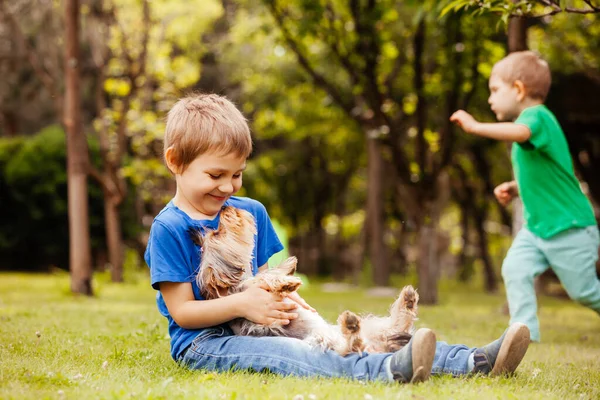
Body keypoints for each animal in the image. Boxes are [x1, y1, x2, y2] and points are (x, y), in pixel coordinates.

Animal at [195, 206, 420, 356]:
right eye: (218, 232)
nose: (226, 207)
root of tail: (378, 347)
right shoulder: (256, 309)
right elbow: (265, 279)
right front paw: (286, 282)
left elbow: (268, 273)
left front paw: (289, 266)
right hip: (322, 338)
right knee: (350, 347)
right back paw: (351, 326)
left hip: (373, 328)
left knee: (394, 327)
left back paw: (407, 301)